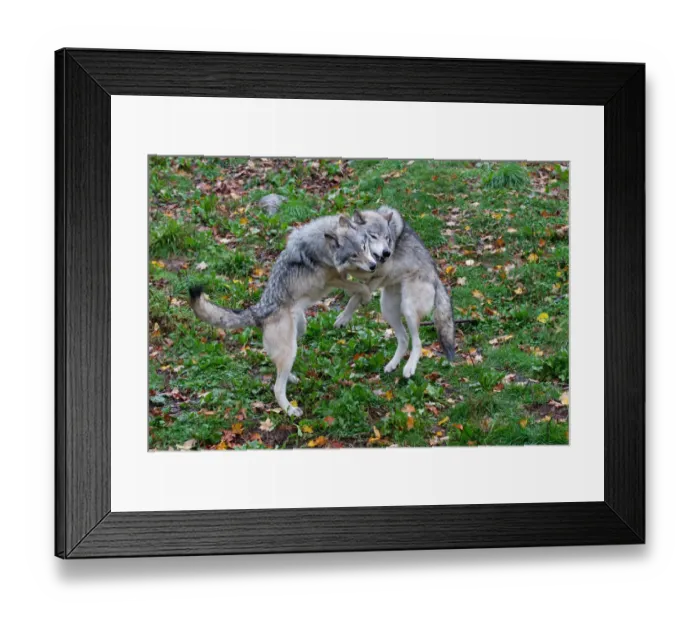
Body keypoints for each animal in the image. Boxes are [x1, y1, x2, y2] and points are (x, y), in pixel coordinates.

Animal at [189, 215, 376, 417]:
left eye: (364, 247)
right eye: (353, 255)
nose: (373, 265)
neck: (322, 244)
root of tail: (258, 310)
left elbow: (357, 284)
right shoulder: (334, 279)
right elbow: (361, 287)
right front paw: (366, 297)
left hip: (298, 333)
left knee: (278, 367)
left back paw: (292, 378)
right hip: (290, 349)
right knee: (277, 387)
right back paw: (290, 410)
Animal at [334, 206, 456, 378]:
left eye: (387, 238)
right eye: (373, 236)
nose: (387, 253)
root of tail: (437, 278)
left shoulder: (378, 275)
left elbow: (355, 298)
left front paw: (343, 318)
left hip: (408, 308)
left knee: (417, 342)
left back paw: (409, 368)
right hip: (387, 310)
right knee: (404, 339)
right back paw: (392, 365)